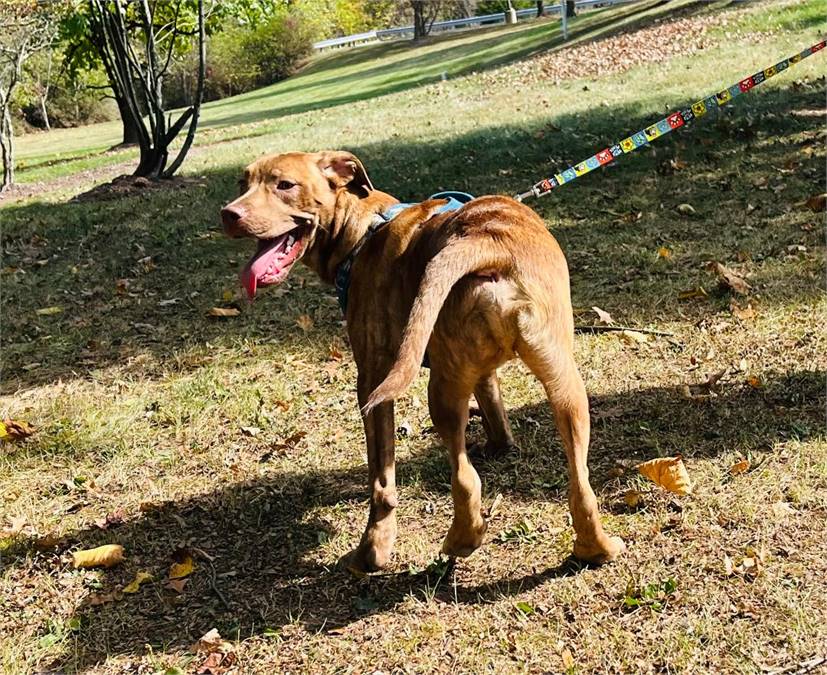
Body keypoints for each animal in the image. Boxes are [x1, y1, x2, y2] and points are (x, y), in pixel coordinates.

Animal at [223, 151, 624, 572]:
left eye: (285, 185)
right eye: (242, 183)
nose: (228, 214)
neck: (364, 230)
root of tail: (488, 240)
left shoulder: (371, 379)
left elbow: (381, 479)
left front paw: (373, 550)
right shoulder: (483, 373)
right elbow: (495, 410)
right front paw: (499, 446)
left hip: (442, 390)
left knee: (465, 480)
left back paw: (460, 541)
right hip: (566, 386)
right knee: (580, 484)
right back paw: (595, 547)